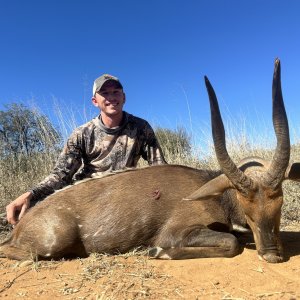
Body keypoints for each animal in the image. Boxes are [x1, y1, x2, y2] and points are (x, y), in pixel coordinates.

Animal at [0, 58, 298, 262]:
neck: (217, 196)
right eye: (247, 208)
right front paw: (156, 251)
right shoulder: (177, 232)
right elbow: (231, 243)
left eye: (280, 204)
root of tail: (21, 224)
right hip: (53, 240)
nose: (272, 255)